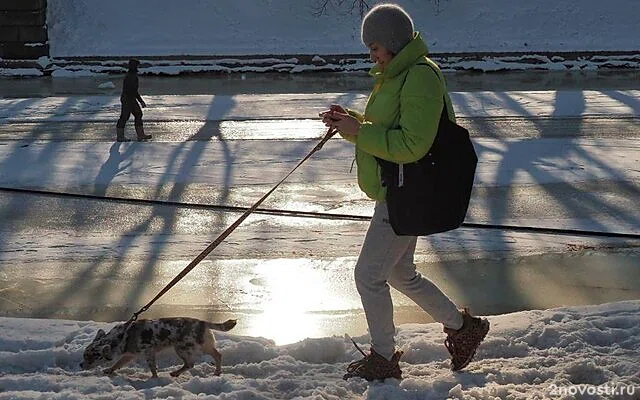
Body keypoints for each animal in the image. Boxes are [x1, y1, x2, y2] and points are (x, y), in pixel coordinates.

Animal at [81, 316, 236, 378]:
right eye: (84, 355)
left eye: (90, 357)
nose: (80, 365)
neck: (120, 337)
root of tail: (203, 322)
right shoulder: (129, 355)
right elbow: (118, 364)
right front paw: (109, 370)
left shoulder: (149, 352)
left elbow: (152, 367)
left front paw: (154, 378)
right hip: (204, 345)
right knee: (217, 355)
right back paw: (217, 372)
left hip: (181, 348)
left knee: (190, 364)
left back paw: (175, 373)